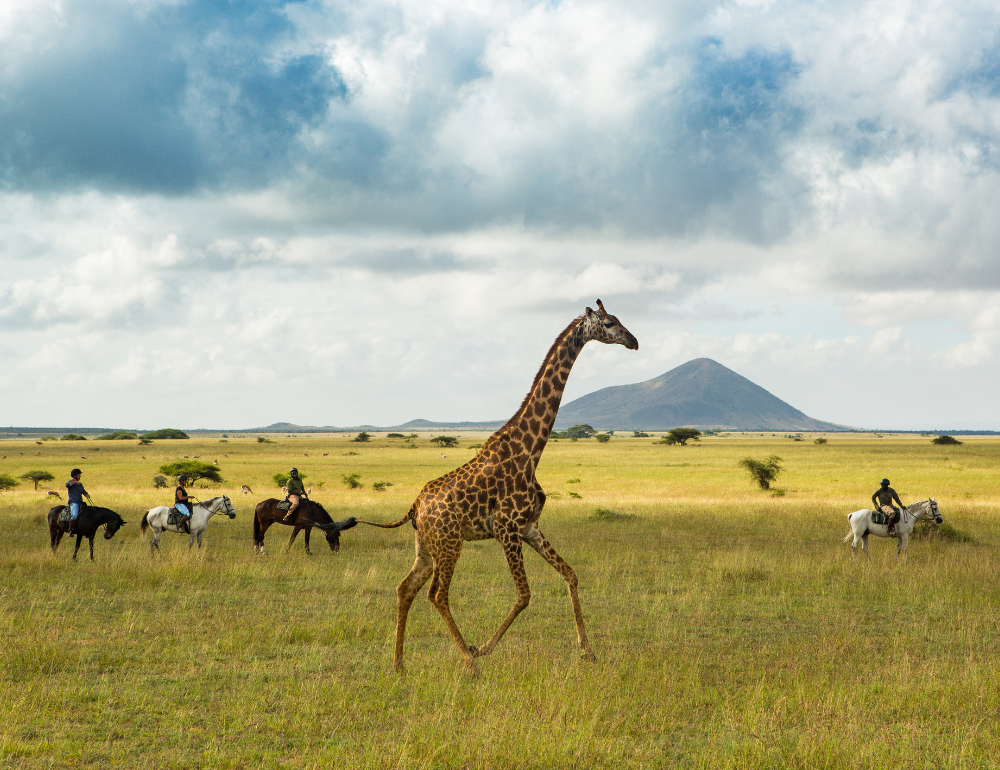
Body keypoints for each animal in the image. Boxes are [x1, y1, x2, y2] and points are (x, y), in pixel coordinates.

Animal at [362, 296, 640, 668]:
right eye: (609, 323)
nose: (633, 341)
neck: (531, 451)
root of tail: (415, 506)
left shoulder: (530, 527)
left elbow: (570, 574)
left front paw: (588, 650)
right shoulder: (507, 530)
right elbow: (524, 595)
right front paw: (483, 648)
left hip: (426, 547)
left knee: (405, 588)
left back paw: (399, 665)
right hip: (450, 544)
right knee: (437, 595)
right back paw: (469, 660)